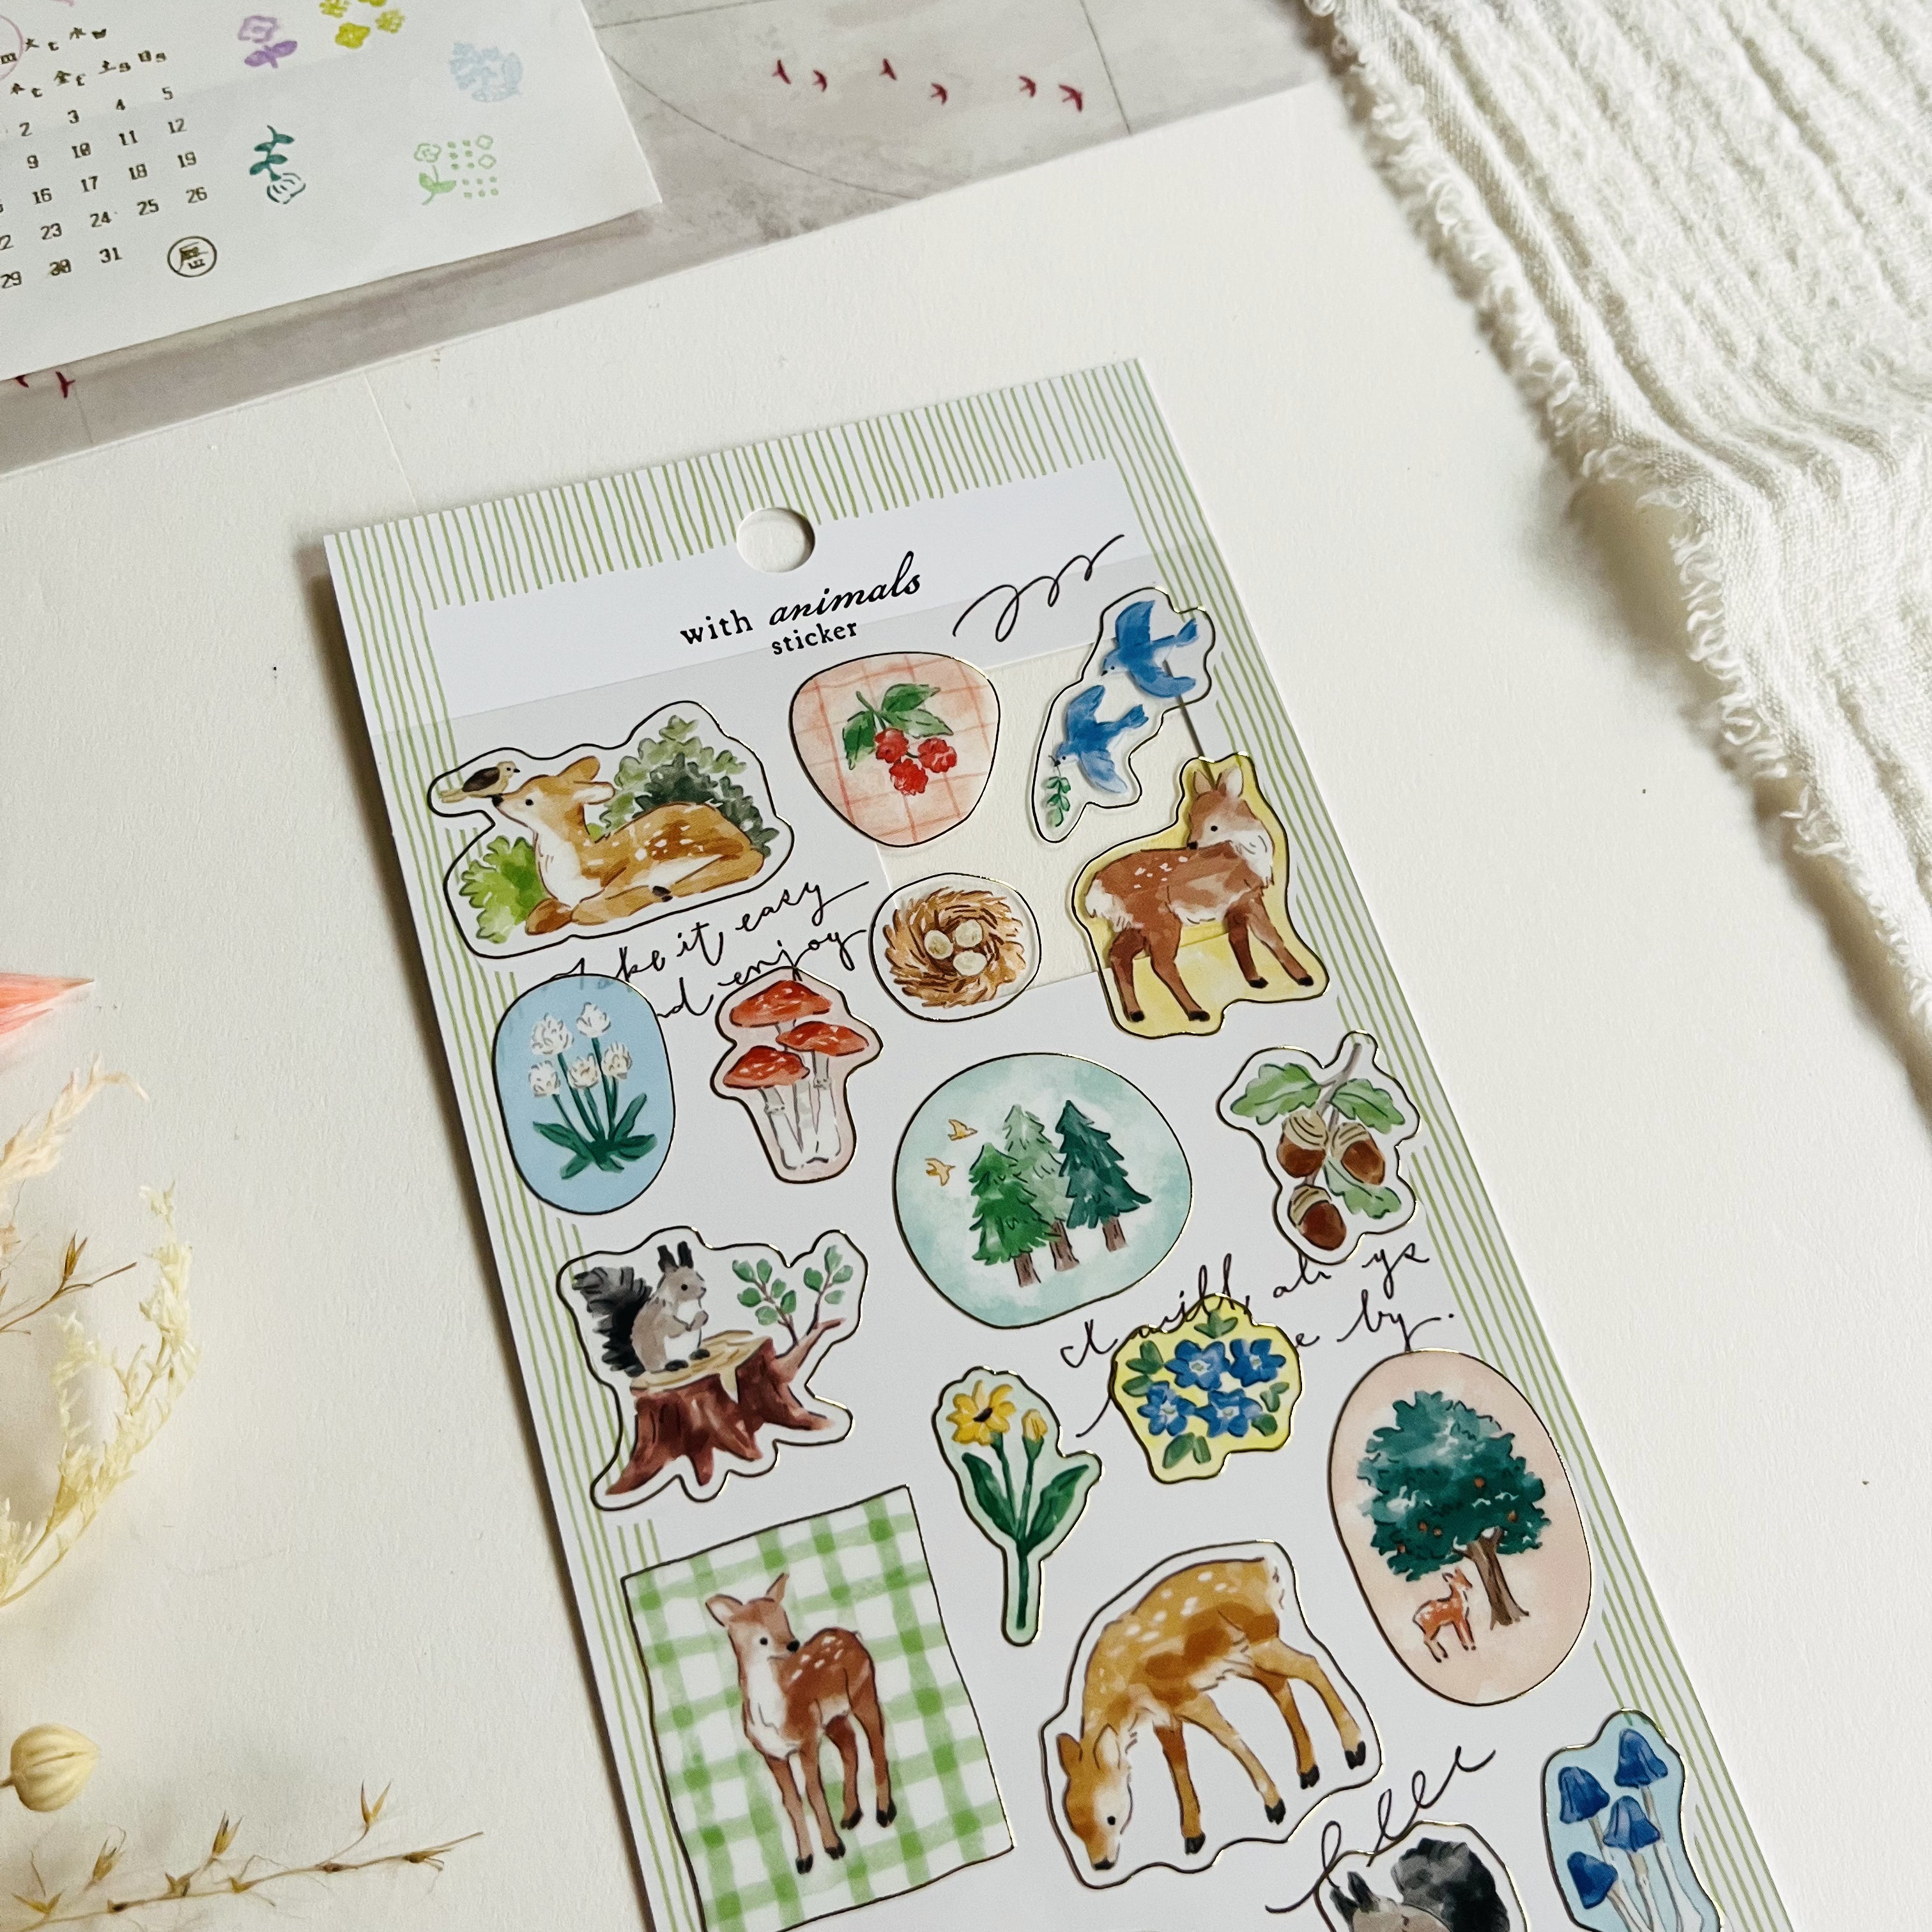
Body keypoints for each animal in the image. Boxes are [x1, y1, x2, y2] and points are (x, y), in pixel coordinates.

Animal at [446, 756, 764, 936]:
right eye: (521, 787)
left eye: (529, 800)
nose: (498, 799)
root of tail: (736, 831)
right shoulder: (559, 899)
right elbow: (535, 918)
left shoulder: (631, 867)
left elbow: (589, 909)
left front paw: (648, 896)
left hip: (691, 845)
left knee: (747, 860)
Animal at [706, 1574, 895, 1875]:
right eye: (763, 1638)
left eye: (785, 1620)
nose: (793, 1644)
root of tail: (851, 1635)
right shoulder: (771, 1754)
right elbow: (792, 1801)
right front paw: (804, 1860)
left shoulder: (807, 1739)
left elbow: (814, 1792)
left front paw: (834, 1848)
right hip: (833, 1719)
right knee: (850, 1747)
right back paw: (851, 1816)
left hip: (863, 1691)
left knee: (876, 1742)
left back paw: (884, 1813)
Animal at [1053, 1557, 1367, 1872]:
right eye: (1074, 1825)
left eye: (1111, 1818)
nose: (1102, 1864)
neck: (1123, 1691)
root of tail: (1266, 1568)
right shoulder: (1164, 1716)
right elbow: (1178, 1765)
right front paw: (1193, 1836)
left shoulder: (1185, 1694)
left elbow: (1227, 1736)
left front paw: (1275, 1806)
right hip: (1244, 1657)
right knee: (1281, 1686)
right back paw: (1309, 1771)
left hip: (1261, 1642)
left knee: (1310, 1665)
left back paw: (1354, 1749)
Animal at [1083, 762, 1313, 1024]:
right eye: (1191, 818)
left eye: (1213, 826)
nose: (1191, 844)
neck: (1246, 856)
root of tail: (1095, 893)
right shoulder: (1248, 897)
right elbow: (1270, 937)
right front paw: (1303, 977)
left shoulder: (1238, 903)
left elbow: (1244, 939)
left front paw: (1258, 980)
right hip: (1161, 922)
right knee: (1161, 963)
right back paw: (1196, 1012)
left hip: (1135, 925)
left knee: (1118, 956)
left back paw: (1136, 1013)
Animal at [1413, 1571, 1476, 1664]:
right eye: (1459, 1580)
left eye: (1465, 1578)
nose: (1470, 1586)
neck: (1456, 1602)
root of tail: (1415, 1618)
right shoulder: (1457, 1619)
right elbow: (1461, 1633)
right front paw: (1466, 1647)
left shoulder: (1464, 1618)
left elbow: (1467, 1630)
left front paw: (1472, 1646)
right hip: (1431, 1628)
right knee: (1426, 1640)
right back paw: (1438, 1659)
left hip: (1433, 1628)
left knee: (1431, 1640)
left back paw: (1444, 1655)